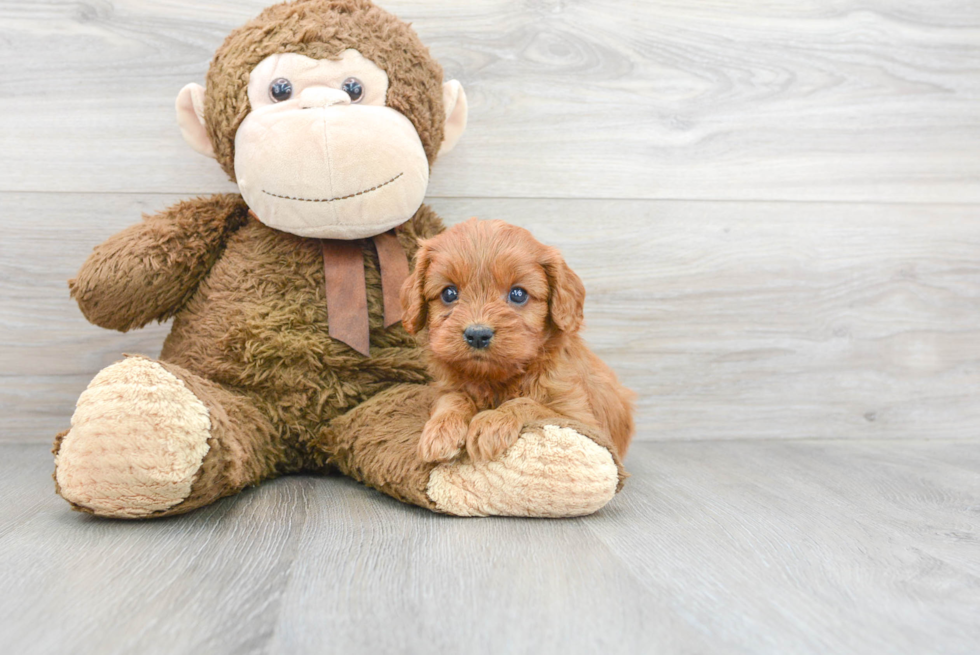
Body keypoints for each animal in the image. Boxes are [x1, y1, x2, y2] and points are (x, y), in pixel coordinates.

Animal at [400, 220, 636, 466]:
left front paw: (493, 421)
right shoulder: (448, 387)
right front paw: (441, 429)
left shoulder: (582, 422)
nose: (477, 335)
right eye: (449, 293)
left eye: (518, 294)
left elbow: (530, 405)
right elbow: (452, 398)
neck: (494, 379)